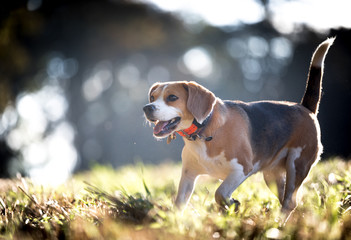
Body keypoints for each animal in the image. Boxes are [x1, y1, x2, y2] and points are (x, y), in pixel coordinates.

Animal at [143, 38, 336, 215]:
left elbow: (220, 193)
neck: (204, 131)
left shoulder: (242, 169)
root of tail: (305, 108)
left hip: (298, 165)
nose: (147, 108)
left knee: (290, 202)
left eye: (172, 97)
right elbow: (179, 205)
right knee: (287, 202)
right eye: (152, 97)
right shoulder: (188, 175)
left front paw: (231, 204)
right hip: (272, 175)